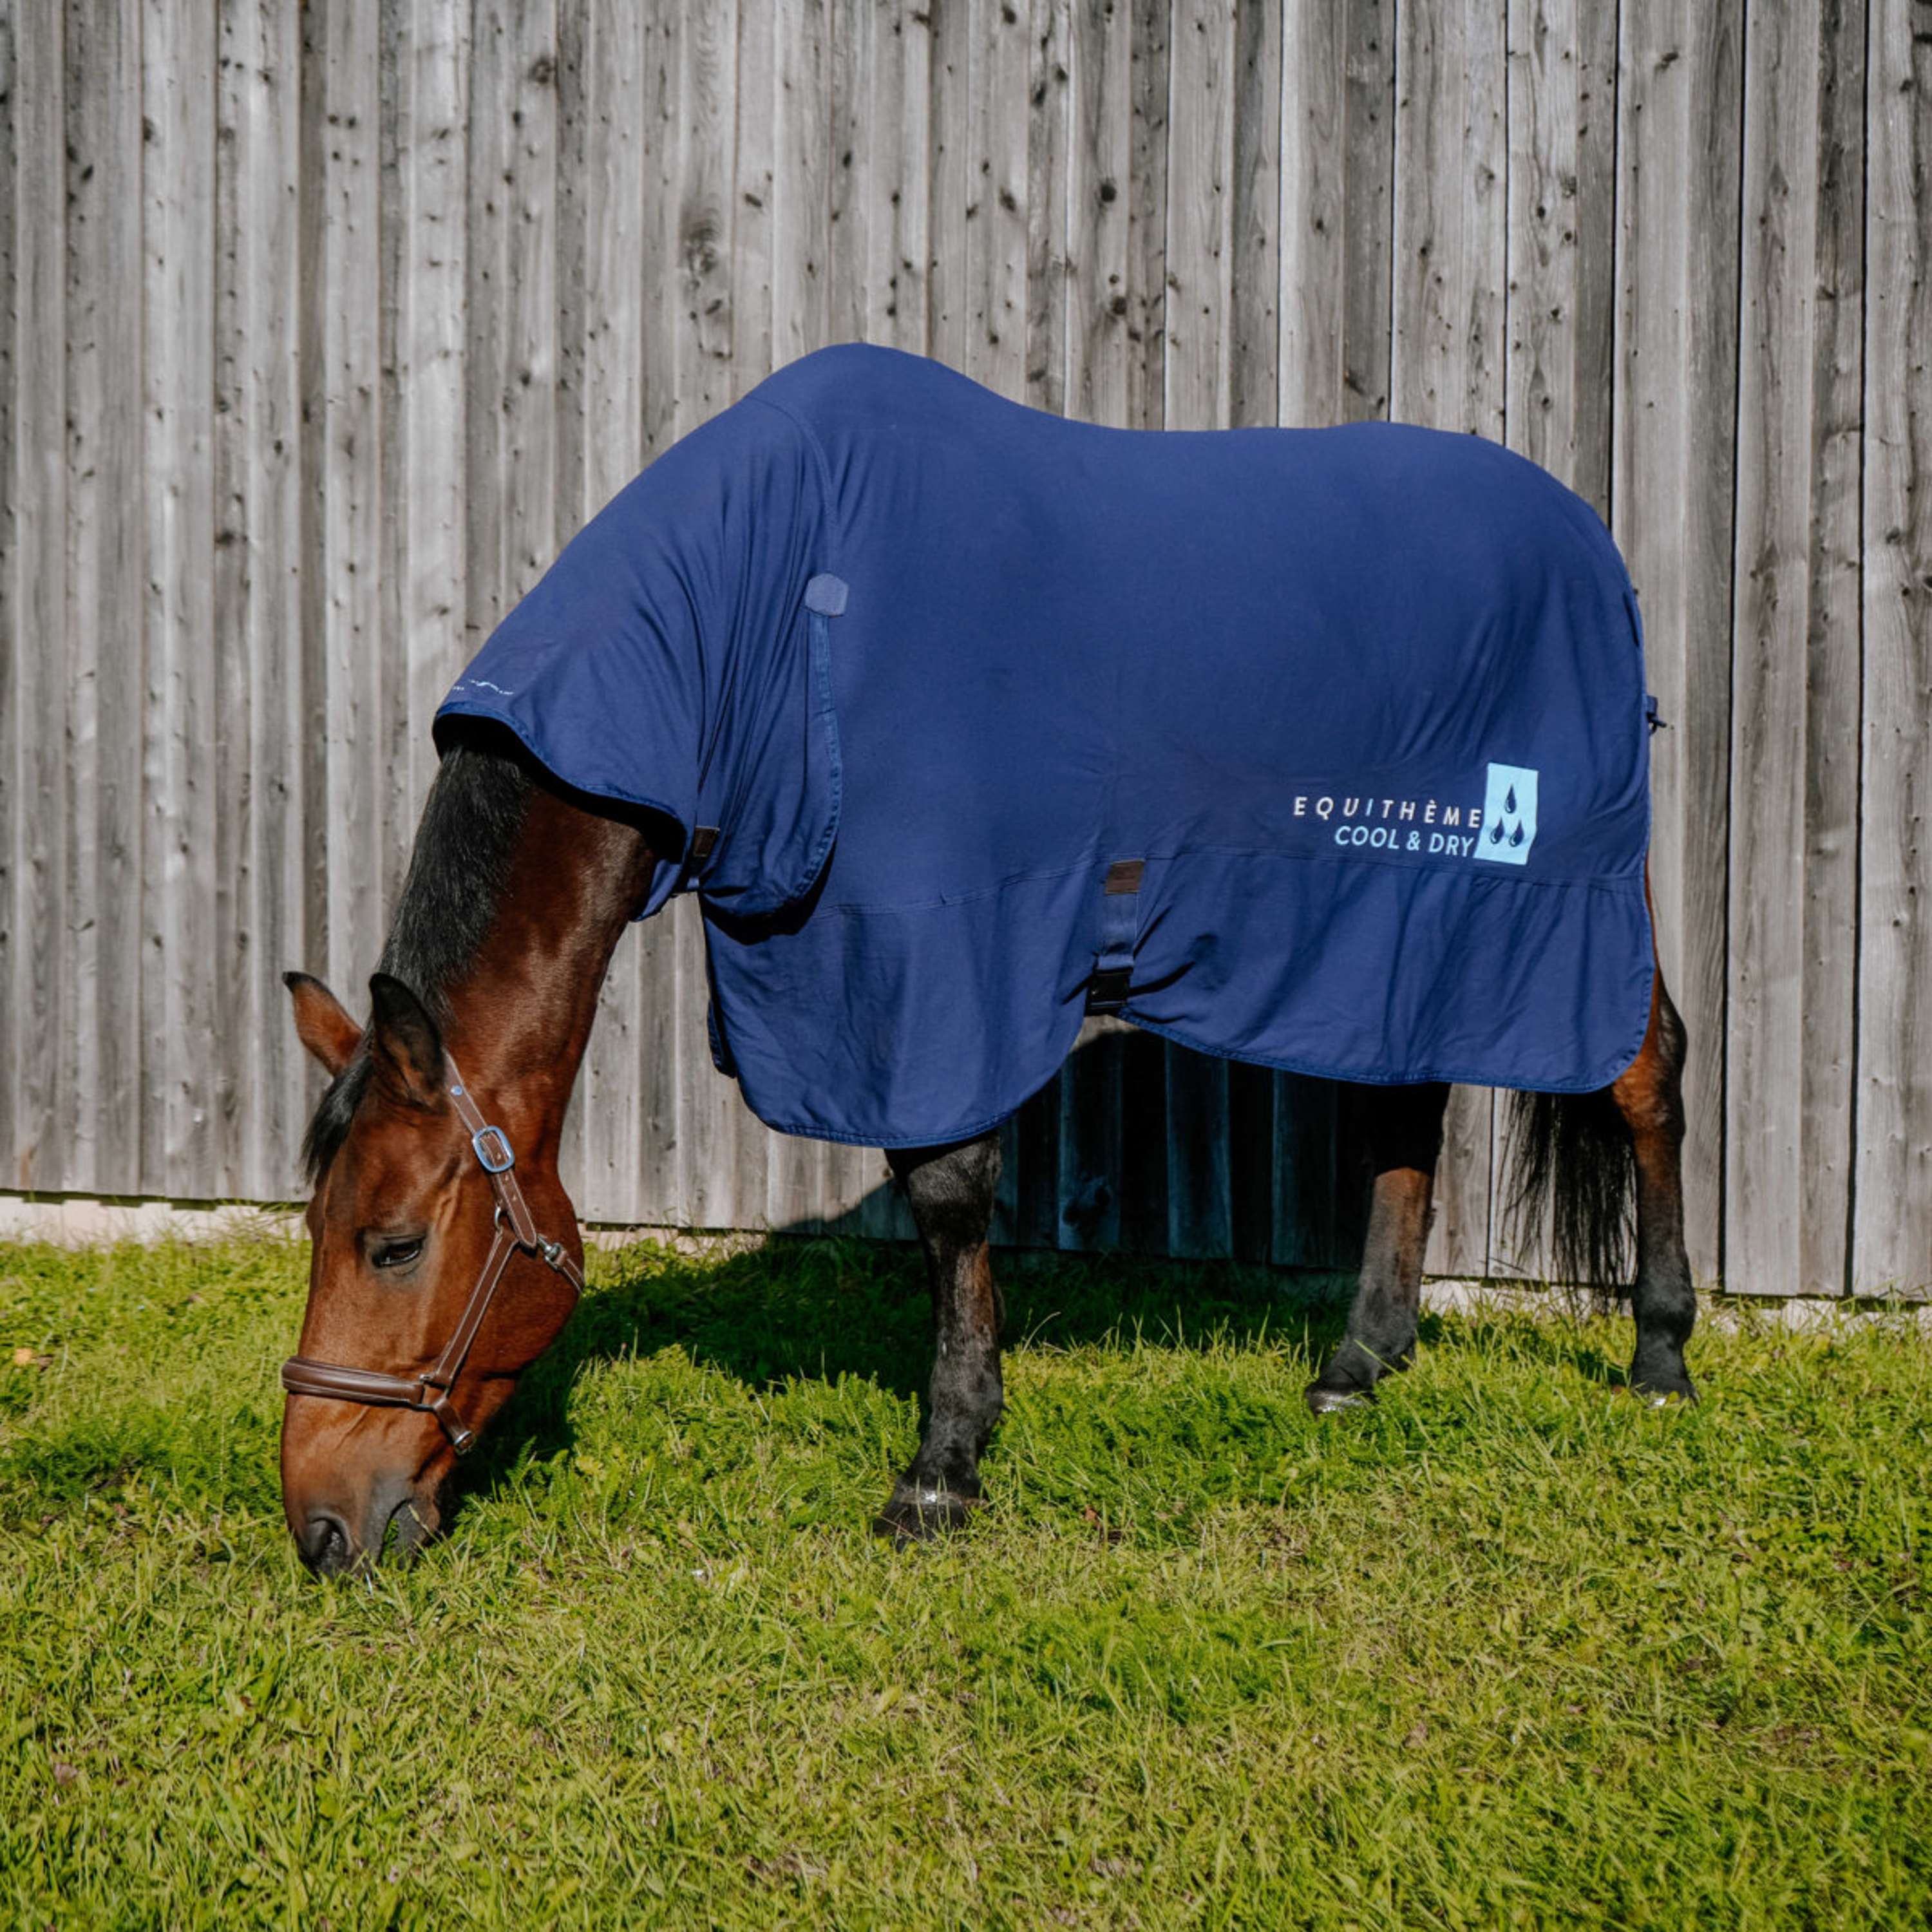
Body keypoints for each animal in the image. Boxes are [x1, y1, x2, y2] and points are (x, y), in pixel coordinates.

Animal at [277, 346, 1696, 1576]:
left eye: (393, 1244)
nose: (323, 1524)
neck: (771, 615)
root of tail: (1591, 547)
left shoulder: (936, 962)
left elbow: (951, 1196)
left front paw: (941, 1471)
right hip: (1397, 927)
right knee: (1407, 1105)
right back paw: (1358, 1367)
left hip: (1568, 902)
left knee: (1648, 1077)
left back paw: (1660, 1361)